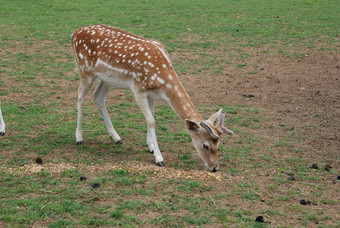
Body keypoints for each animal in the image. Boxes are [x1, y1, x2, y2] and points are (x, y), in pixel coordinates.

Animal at [70, 24, 232, 171]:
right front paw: (159, 159)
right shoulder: (138, 89)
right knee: (80, 97)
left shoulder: (152, 94)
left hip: (107, 79)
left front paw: (151, 147)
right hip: (85, 70)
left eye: (218, 144)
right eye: (205, 145)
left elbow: (151, 116)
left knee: (98, 96)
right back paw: (79, 138)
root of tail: (74, 33)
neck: (162, 81)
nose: (214, 168)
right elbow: (151, 120)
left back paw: (116, 137)